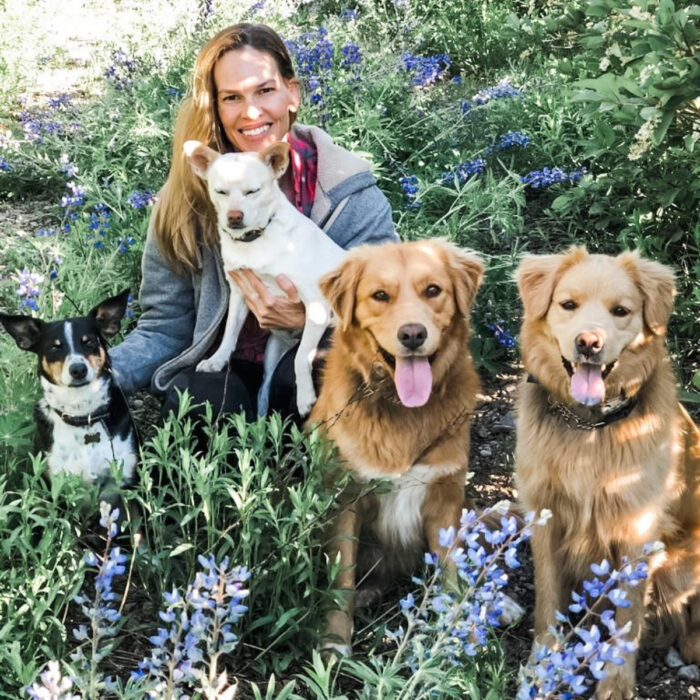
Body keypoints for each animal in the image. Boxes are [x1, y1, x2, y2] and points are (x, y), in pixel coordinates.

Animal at [180, 141, 344, 416]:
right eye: (221, 192)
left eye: (252, 191)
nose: (234, 216)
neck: (255, 239)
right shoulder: (240, 295)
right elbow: (229, 334)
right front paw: (217, 360)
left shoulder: (317, 306)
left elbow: (301, 357)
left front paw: (305, 397)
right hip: (271, 354)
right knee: (265, 386)